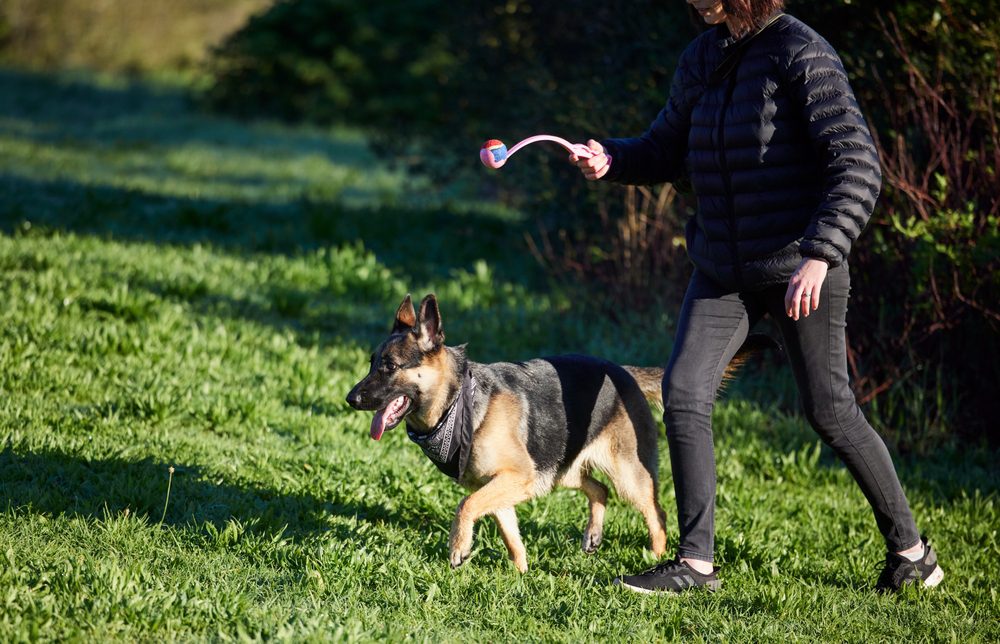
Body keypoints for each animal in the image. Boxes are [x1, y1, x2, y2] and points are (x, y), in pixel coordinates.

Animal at [346, 294, 756, 572]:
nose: (351, 398)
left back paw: (654, 557)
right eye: (371, 363)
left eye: (389, 366)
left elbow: (466, 507)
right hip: (559, 470)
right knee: (599, 490)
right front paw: (521, 574)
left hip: (626, 476)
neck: (460, 402)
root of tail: (623, 372)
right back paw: (593, 535)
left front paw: (459, 547)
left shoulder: (515, 479)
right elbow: (509, 533)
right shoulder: (504, 486)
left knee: (656, 512)